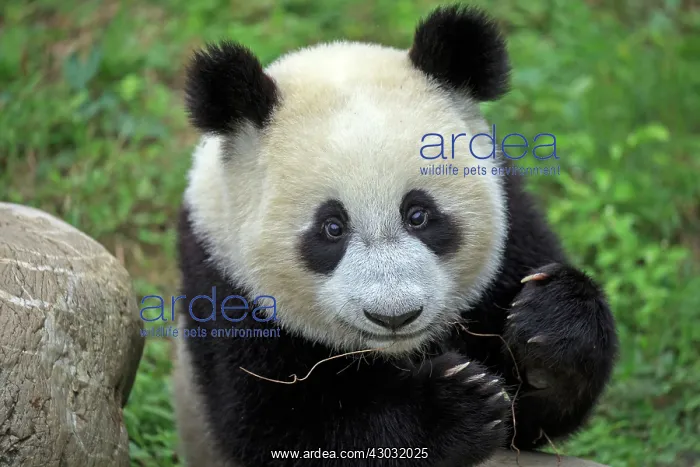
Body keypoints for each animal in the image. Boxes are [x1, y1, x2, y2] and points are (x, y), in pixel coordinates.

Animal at [172, 4, 618, 467]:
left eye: (418, 215)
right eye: (332, 228)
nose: (394, 316)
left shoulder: (513, 230)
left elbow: (532, 419)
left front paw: (549, 331)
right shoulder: (222, 284)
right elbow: (283, 429)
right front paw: (456, 404)